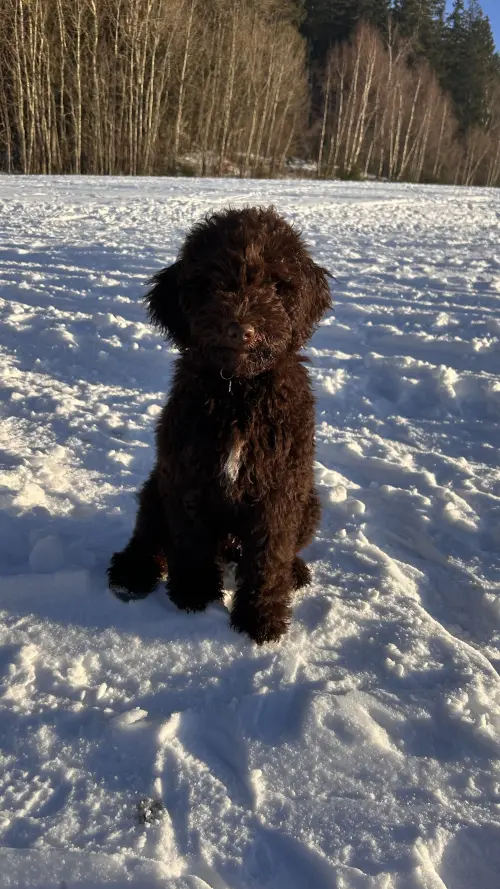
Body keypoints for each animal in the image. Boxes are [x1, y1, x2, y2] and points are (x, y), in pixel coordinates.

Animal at [108, 206, 331, 643]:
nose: (240, 328)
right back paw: (132, 570)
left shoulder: (280, 488)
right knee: (148, 536)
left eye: (277, 284)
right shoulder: (188, 477)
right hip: (155, 487)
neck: (238, 391)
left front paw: (261, 618)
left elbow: (269, 557)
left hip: (309, 503)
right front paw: (194, 595)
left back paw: (295, 572)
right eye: (210, 282)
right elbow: (191, 543)